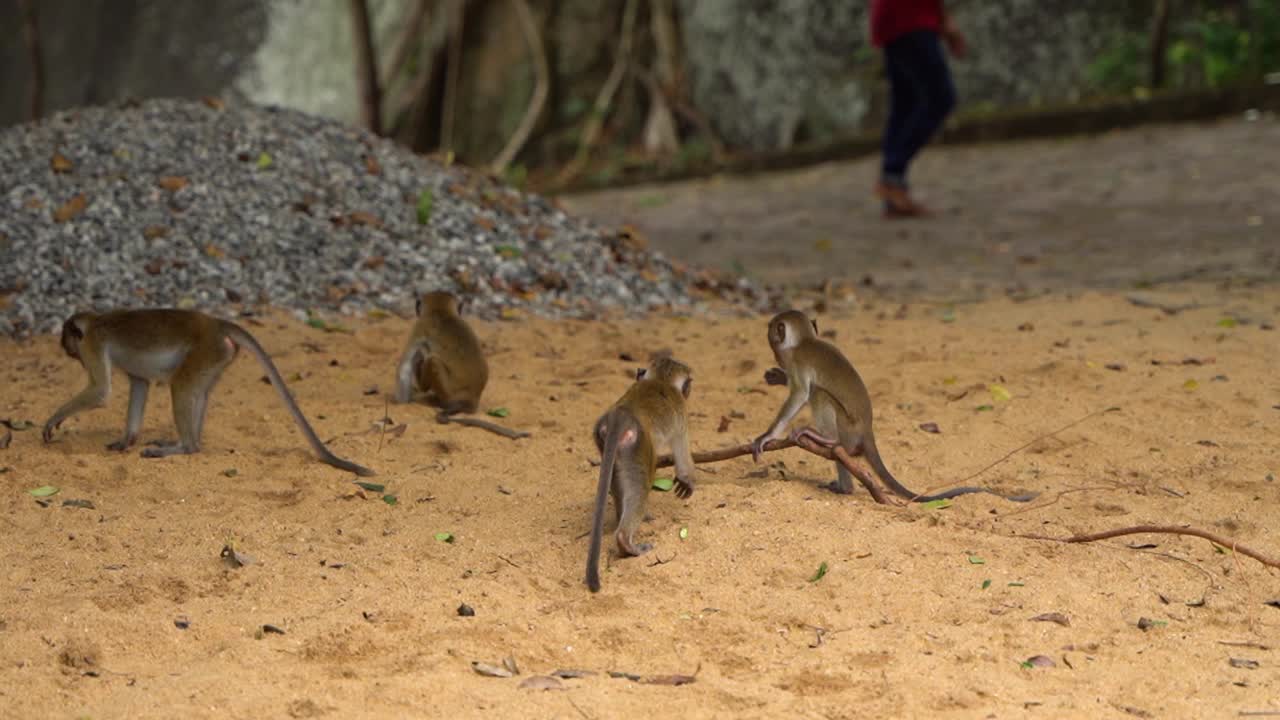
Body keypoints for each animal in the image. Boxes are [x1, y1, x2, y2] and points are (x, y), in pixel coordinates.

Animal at [42, 308, 376, 477]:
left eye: (69, 345)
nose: (70, 353)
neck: (94, 322)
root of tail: (216, 325)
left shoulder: (93, 344)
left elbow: (100, 391)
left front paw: (53, 420)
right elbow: (140, 385)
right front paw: (127, 440)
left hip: (206, 350)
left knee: (181, 386)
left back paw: (184, 447)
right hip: (218, 356)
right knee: (198, 392)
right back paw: (191, 442)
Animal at [393, 291, 528, 439]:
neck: (441, 311)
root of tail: (471, 399)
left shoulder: (420, 326)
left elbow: (405, 366)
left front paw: (401, 402)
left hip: (448, 393)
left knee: (432, 360)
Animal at [586, 357, 697, 592]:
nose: (689, 390)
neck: (661, 380)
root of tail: (620, 415)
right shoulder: (681, 414)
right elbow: (681, 451)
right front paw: (687, 481)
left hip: (610, 444)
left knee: (618, 483)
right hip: (639, 445)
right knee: (641, 485)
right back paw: (626, 542)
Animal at [751, 310, 1035, 503]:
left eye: (772, 335)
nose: (773, 351)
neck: (803, 342)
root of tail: (867, 431)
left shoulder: (797, 361)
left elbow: (800, 394)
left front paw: (766, 436)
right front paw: (776, 377)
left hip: (848, 427)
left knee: (820, 396)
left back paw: (831, 442)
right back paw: (845, 487)